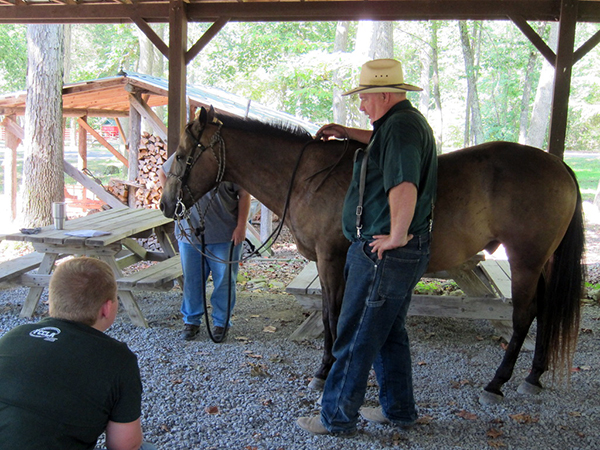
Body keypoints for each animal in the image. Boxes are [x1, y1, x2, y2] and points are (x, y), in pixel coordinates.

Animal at [161, 106, 584, 404]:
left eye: (181, 156)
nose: (167, 205)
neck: (307, 178)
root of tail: (559, 165)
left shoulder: (331, 259)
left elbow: (333, 316)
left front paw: (325, 371)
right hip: (542, 264)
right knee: (545, 312)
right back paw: (533, 376)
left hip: (526, 261)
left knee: (524, 316)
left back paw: (497, 382)